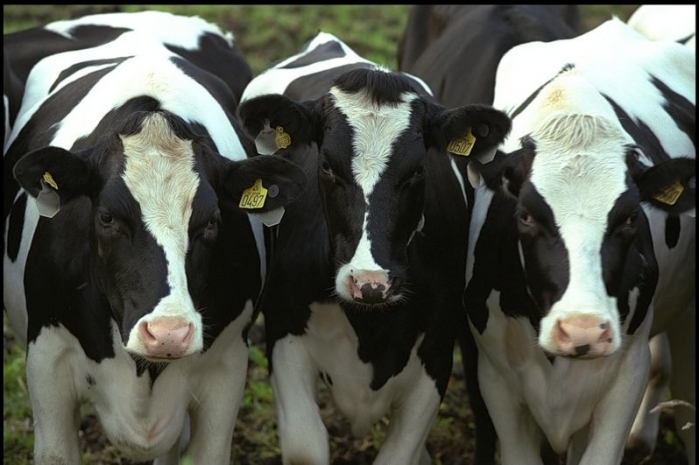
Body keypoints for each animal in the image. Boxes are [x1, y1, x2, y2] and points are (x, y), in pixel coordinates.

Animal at [236, 31, 511, 465]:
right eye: (326, 165)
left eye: (418, 170)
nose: (370, 282)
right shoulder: (284, 336)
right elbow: (306, 446)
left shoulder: (436, 352)